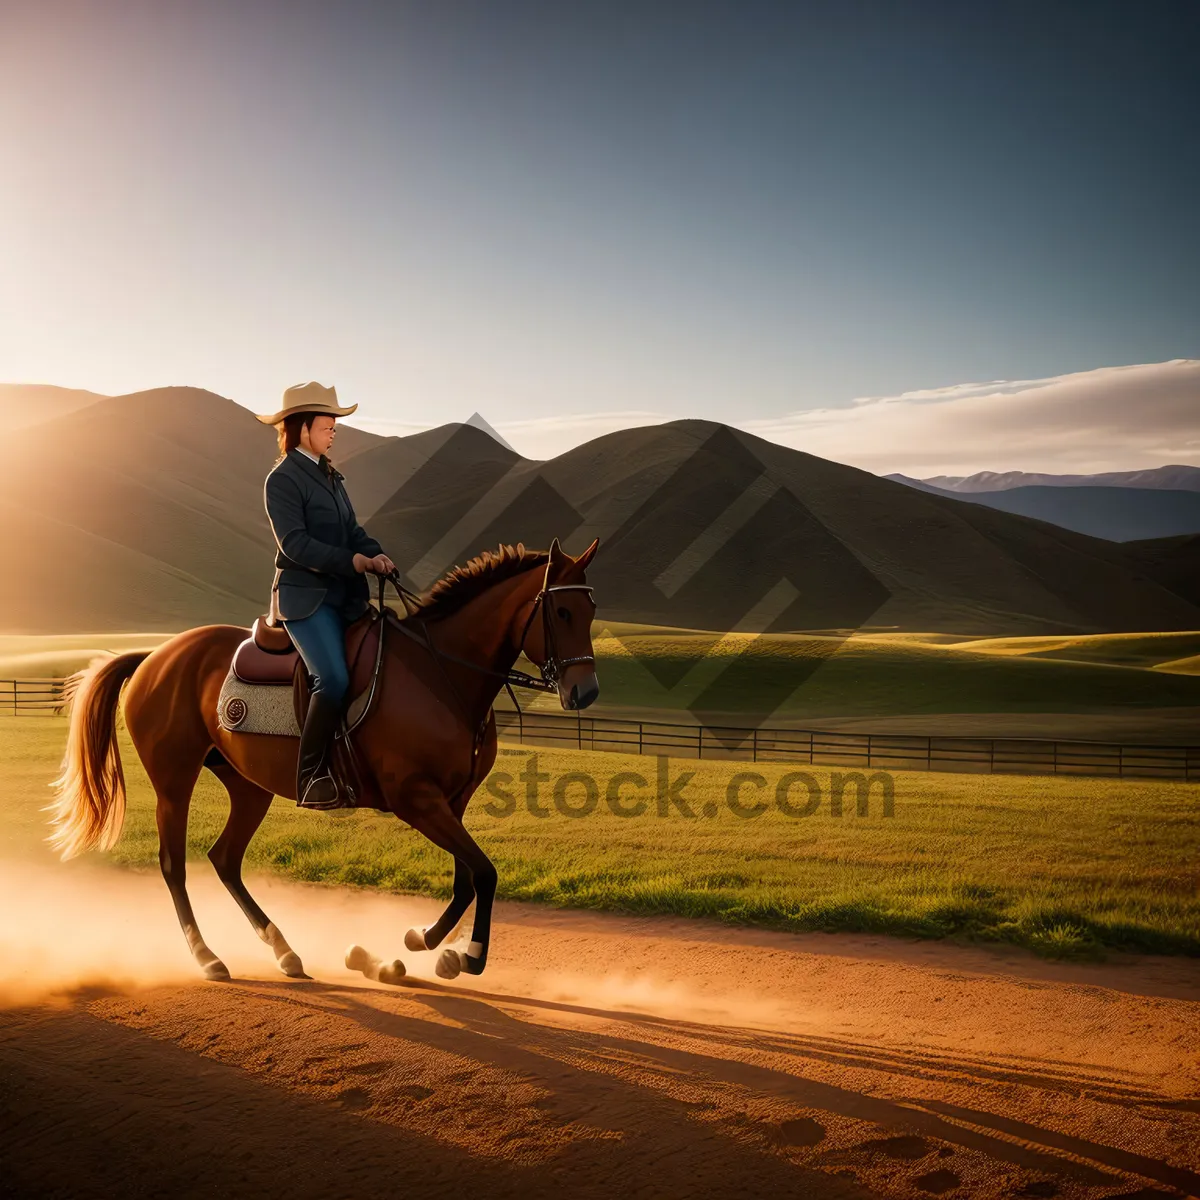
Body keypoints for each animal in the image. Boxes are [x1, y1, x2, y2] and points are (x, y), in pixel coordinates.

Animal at [46, 537, 600, 984]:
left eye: (592, 611)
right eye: (561, 613)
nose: (586, 692)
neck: (440, 674)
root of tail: (154, 657)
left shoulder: (453, 802)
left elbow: (467, 878)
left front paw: (427, 942)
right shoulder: (417, 800)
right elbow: (484, 873)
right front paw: (470, 954)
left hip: (248, 786)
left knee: (224, 859)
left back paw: (284, 951)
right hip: (174, 782)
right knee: (174, 866)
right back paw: (208, 958)